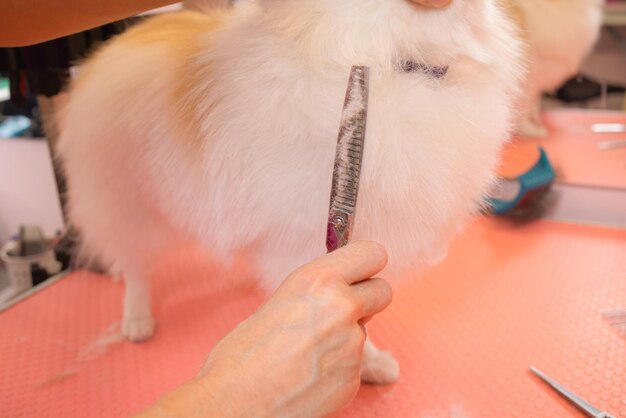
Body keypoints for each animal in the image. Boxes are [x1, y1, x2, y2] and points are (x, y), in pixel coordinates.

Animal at [57, 0, 520, 384]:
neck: (398, 62)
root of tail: (111, 48)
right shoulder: (312, 241)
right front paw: (369, 362)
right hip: (128, 200)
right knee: (135, 263)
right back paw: (137, 317)